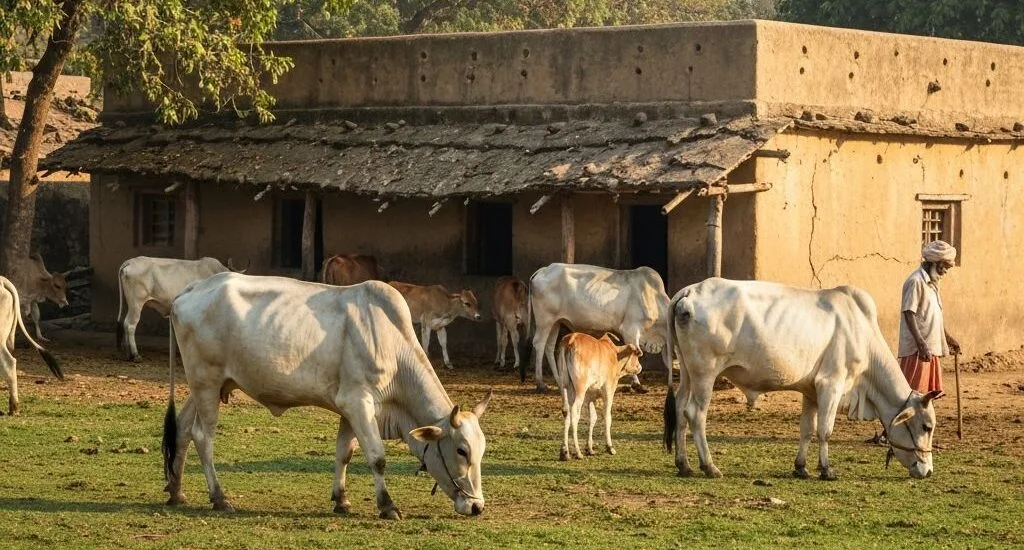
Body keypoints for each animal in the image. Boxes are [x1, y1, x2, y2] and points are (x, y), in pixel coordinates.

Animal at [164, 274, 490, 517]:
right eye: (461, 450)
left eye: (481, 450)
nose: (476, 507)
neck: (392, 343)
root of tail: (189, 290)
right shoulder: (358, 402)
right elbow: (377, 458)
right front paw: (387, 506)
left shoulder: (352, 409)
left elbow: (344, 452)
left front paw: (341, 500)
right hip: (206, 382)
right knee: (202, 436)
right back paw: (219, 497)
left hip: (205, 386)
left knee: (182, 430)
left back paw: (176, 491)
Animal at [528, 263, 670, 394]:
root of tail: (544, 269)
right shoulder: (630, 329)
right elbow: (634, 352)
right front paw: (636, 384)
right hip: (545, 320)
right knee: (539, 344)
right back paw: (540, 384)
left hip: (556, 322)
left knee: (549, 346)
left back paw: (558, 381)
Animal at [556, 332, 643, 461]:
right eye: (636, 355)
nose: (639, 367)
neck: (614, 355)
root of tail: (571, 339)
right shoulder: (609, 390)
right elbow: (607, 416)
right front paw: (610, 447)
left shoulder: (590, 397)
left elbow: (593, 418)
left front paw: (589, 449)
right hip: (580, 390)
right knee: (574, 413)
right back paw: (578, 452)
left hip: (564, 388)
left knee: (566, 411)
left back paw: (565, 452)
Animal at [664, 278, 938, 480]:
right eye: (926, 426)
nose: (927, 471)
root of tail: (689, 292)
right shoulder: (831, 384)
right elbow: (825, 431)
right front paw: (827, 470)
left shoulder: (811, 391)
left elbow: (807, 430)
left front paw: (801, 467)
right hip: (705, 374)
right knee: (695, 414)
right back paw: (709, 466)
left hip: (687, 372)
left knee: (679, 409)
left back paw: (684, 464)